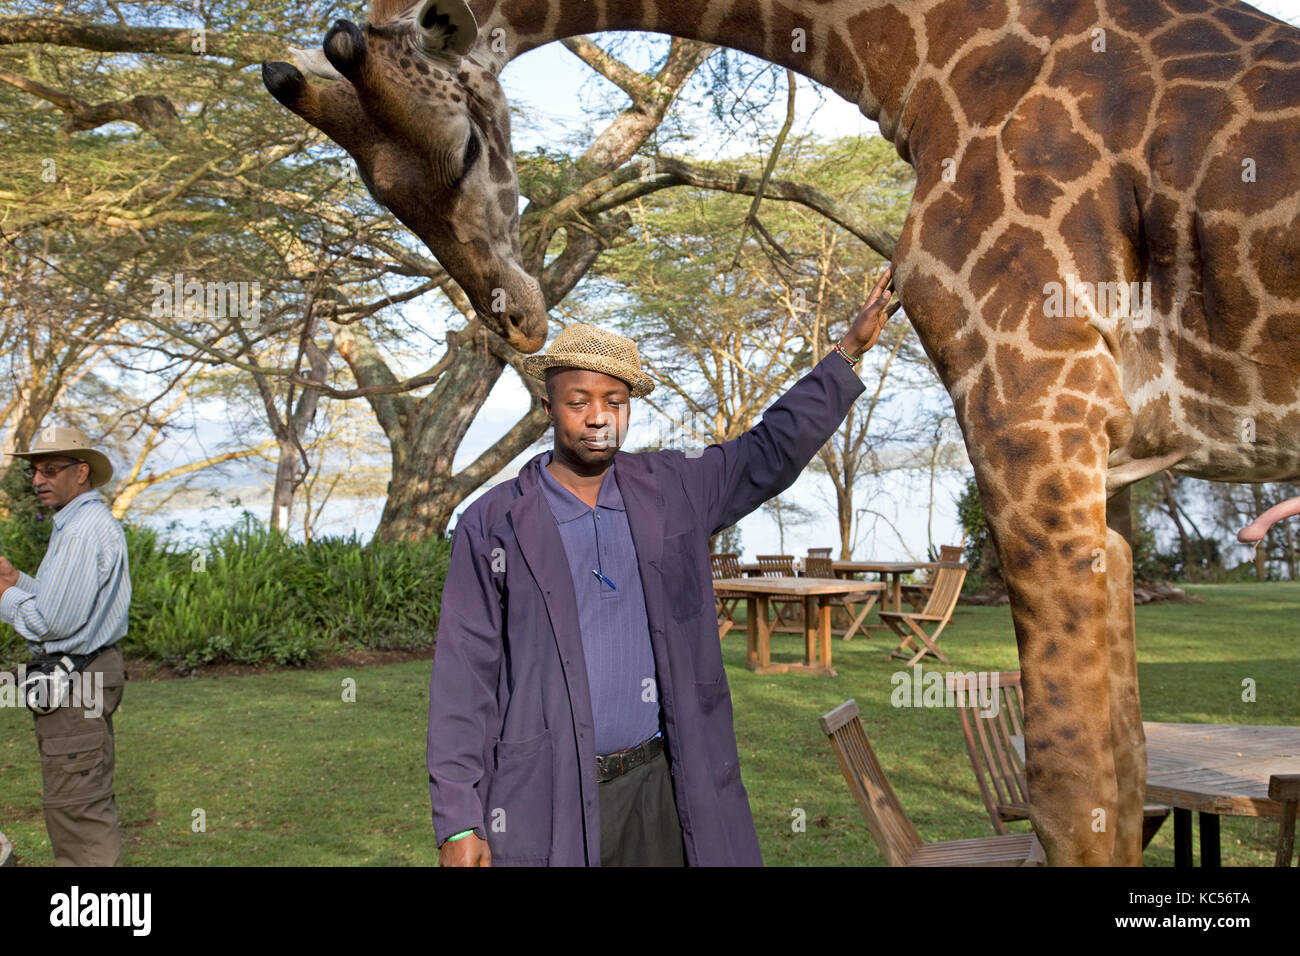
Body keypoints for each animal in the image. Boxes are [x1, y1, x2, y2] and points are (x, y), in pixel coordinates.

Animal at [262, 0, 1300, 865]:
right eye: (380, 188)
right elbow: (1121, 773)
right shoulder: (1104, 468)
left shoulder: (1033, 412)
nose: (514, 315)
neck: (930, 63)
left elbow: (1073, 793)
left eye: (471, 150)